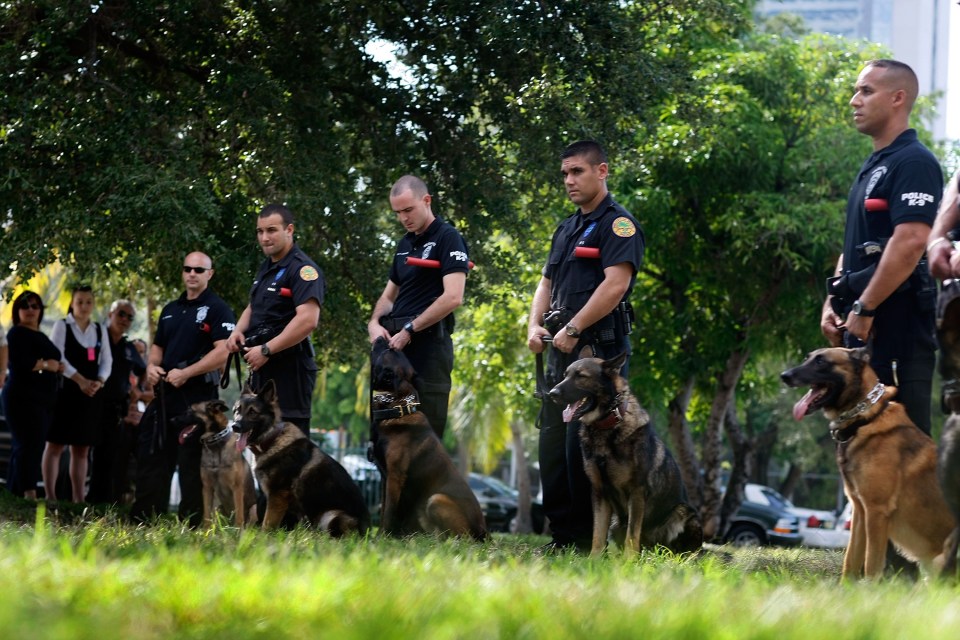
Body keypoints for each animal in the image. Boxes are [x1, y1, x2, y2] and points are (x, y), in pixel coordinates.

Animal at [177, 398, 256, 528]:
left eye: (190, 411)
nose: (172, 420)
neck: (215, 442)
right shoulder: (207, 488)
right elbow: (206, 515)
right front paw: (206, 531)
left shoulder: (237, 488)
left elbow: (239, 515)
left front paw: (238, 532)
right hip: (218, 508)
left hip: (252, 509)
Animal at [231, 380, 370, 536]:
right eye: (237, 411)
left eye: (252, 412)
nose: (234, 426)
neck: (272, 439)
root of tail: (367, 530)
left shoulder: (277, 496)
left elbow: (267, 524)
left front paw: (262, 538)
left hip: (332, 515)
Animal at [368, 336, 488, 540]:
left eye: (389, 350)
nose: (381, 337)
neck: (397, 407)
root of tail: (484, 530)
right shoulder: (385, 477)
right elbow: (384, 509)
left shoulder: (394, 476)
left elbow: (389, 511)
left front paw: (382, 538)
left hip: (436, 499)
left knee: (462, 538)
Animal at [548, 352, 704, 556]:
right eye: (565, 375)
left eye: (581, 376)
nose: (551, 394)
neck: (606, 425)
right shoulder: (599, 492)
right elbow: (598, 533)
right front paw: (594, 559)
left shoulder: (636, 491)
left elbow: (632, 533)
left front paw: (629, 561)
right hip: (617, 523)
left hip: (685, 513)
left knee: (690, 551)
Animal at [780, 348, 952, 576]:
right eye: (806, 358)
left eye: (821, 362)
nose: (784, 376)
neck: (864, 419)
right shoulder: (860, 512)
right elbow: (850, 561)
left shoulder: (876, 511)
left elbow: (871, 564)